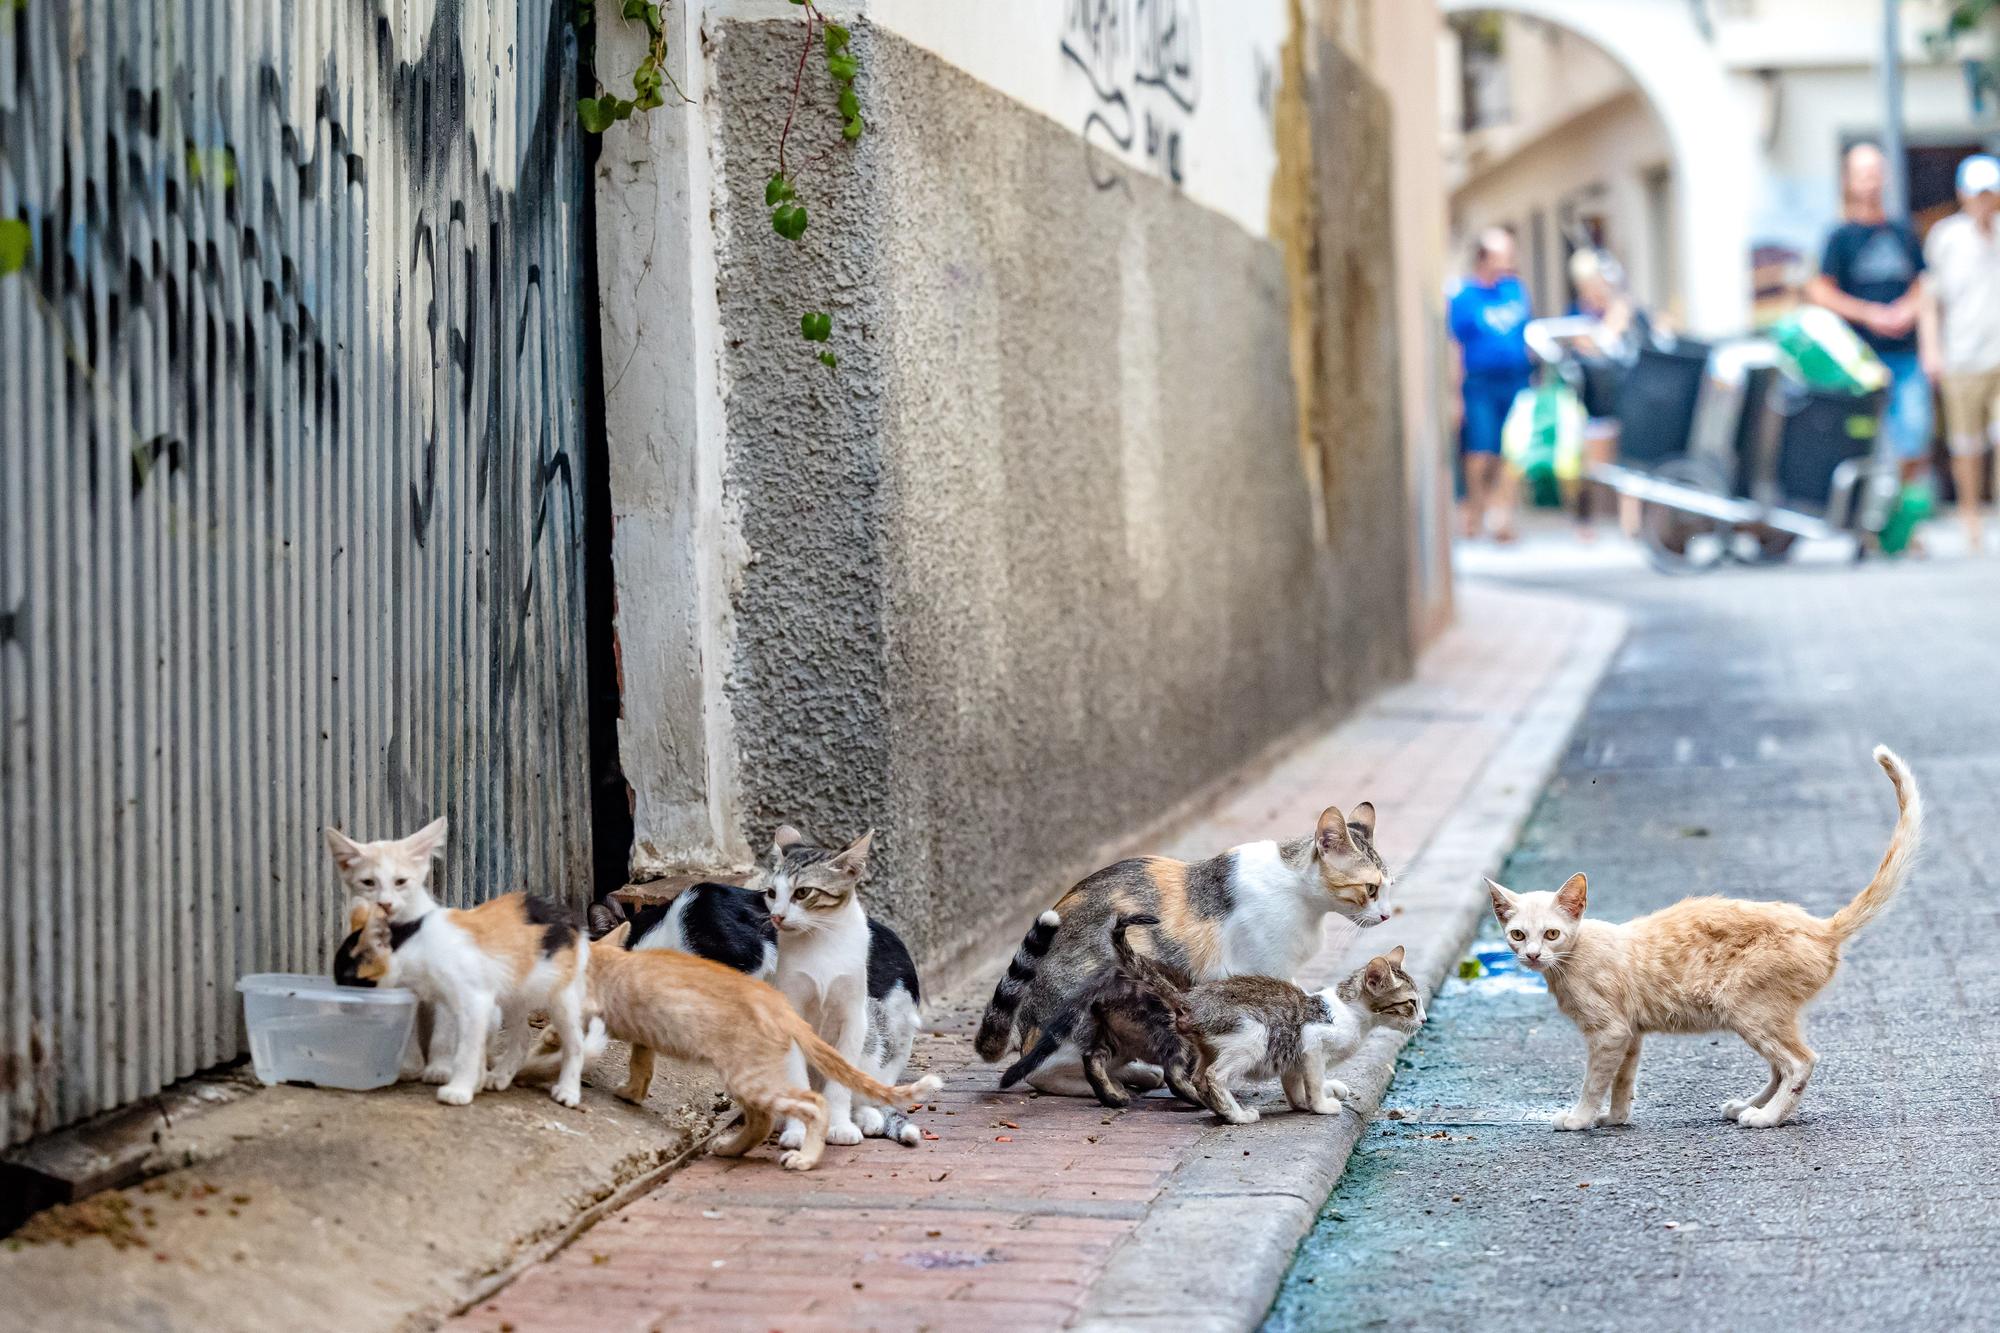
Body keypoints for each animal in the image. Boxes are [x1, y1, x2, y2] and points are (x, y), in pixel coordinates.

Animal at [756, 820, 928, 1144]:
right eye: (771, 892)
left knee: (866, 1094)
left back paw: (868, 1118)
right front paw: (798, 1131)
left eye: (802, 892)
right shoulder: (792, 1013)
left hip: (872, 1043)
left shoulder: (853, 1015)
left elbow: (841, 1084)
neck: (821, 940)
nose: (777, 917)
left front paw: (841, 1126)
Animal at [1176, 944, 1432, 1120]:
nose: (1424, 1019)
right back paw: (1238, 1115)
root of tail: (1192, 1001)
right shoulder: (1311, 1039)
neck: (1352, 1014)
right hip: (1255, 1035)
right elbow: (1315, 1080)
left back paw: (1222, 1112)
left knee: (1198, 1078)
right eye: (1411, 1002)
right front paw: (1321, 1105)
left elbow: (1295, 1082)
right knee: (1214, 1075)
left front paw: (1302, 1102)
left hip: (1211, 1049)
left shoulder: (1293, 1054)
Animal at [1488, 740, 1920, 1128]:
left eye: (1552, 934)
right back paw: (1749, 1106)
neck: (1570, 961)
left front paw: (1580, 1119)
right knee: (1781, 1066)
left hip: (1747, 1007)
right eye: (1518, 935)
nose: (1532, 955)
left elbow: (1593, 1082)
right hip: (1766, 1013)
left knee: (1800, 1062)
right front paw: (1615, 1117)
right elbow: (1622, 1081)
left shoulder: (1609, 1031)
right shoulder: (1629, 1034)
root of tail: (1821, 927)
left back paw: (1767, 1117)